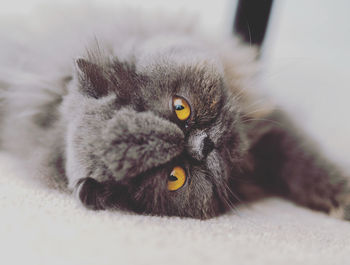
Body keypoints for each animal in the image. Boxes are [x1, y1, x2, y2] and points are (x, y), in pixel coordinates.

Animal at [0, 5, 348, 219]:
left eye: (180, 108)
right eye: (175, 176)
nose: (205, 145)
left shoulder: (267, 117)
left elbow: (304, 161)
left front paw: (341, 198)